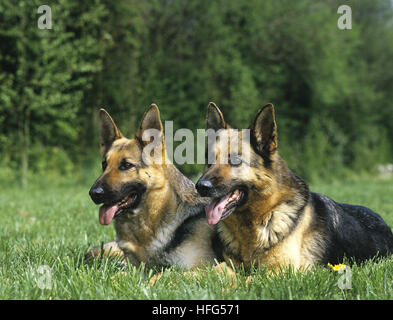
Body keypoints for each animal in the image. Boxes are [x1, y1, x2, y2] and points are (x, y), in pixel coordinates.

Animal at [195, 103, 392, 272]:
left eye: (235, 160)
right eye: (209, 161)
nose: (200, 187)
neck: (263, 216)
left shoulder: (279, 272)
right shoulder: (230, 265)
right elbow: (215, 270)